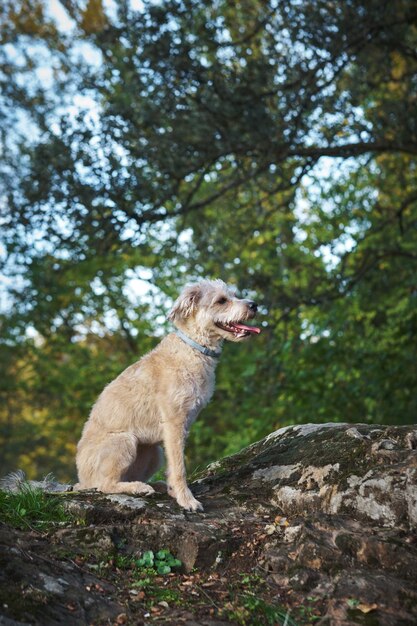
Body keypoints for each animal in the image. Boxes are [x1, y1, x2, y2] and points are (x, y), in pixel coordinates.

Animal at [73, 280, 258, 510]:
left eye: (234, 295)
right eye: (221, 300)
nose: (254, 305)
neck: (193, 347)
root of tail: (81, 481)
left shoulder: (182, 426)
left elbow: (174, 465)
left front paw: (174, 491)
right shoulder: (174, 422)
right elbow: (179, 467)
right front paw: (187, 499)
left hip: (153, 451)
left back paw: (155, 486)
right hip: (124, 440)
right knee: (105, 485)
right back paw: (138, 488)